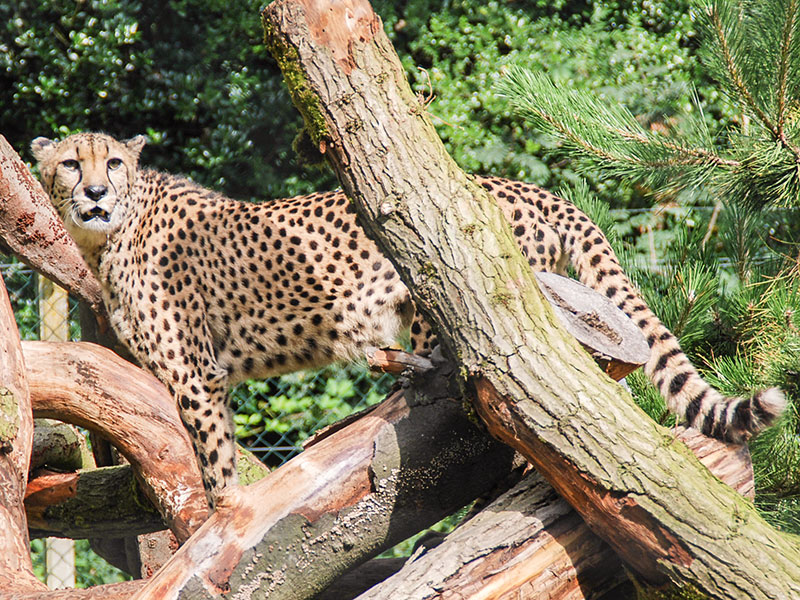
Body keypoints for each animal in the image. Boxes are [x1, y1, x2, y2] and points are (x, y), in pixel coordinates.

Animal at [32, 132, 786, 508]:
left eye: (114, 162)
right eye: (70, 163)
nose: (94, 191)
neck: (110, 233)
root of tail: (514, 183)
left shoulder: (196, 376)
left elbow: (214, 467)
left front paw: (218, 530)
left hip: (447, 306)